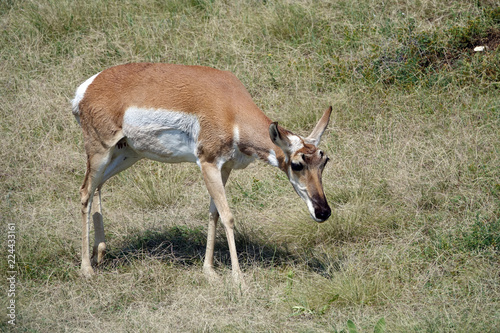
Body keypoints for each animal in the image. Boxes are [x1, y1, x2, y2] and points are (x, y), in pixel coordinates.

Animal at [71, 62, 332, 280]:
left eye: (325, 161)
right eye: (297, 164)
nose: (323, 212)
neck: (230, 107)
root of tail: (88, 86)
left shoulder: (224, 168)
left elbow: (214, 213)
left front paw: (209, 271)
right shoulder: (207, 164)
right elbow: (228, 216)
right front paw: (238, 279)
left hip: (128, 154)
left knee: (97, 186)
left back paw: (100, 253)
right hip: (100, 151)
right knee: (85, 191)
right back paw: (87, 269)